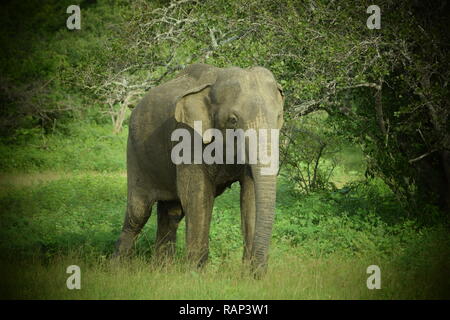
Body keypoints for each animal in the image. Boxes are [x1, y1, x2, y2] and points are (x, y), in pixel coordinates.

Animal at [116, 63, 284, 274]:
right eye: (233, 120)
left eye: (278, 117)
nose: (257, 274)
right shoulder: (188, 137)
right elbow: (198, 195)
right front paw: (196, 273)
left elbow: (250, 194)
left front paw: (246, 273)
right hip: (136, 152)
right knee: (139, 211)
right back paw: (118, 268)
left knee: (172, 212)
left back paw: (162, 271)